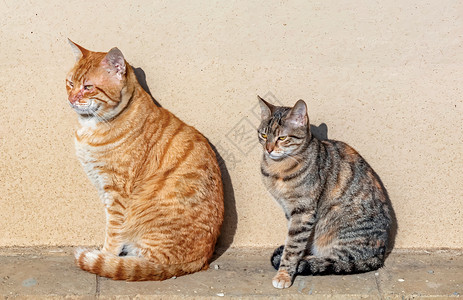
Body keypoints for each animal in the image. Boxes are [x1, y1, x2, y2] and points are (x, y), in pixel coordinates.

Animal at [66, 40, 224, 282]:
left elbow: (113, 231)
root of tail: (201, 260)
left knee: (145, 263)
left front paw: (106, 256)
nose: (71, 99)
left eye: (88, 87)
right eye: (71, 83)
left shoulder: (116, 192)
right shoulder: (103, 188)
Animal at [260, 96, 394, 288]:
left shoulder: (303, 211)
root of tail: (380, 254)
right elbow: (295, 240)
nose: (268, 149)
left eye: (282, 138)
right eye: (263, 135)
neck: (278, 168)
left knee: (336, 260)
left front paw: (284, 274)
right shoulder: (289, 210)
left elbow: (292, 247)